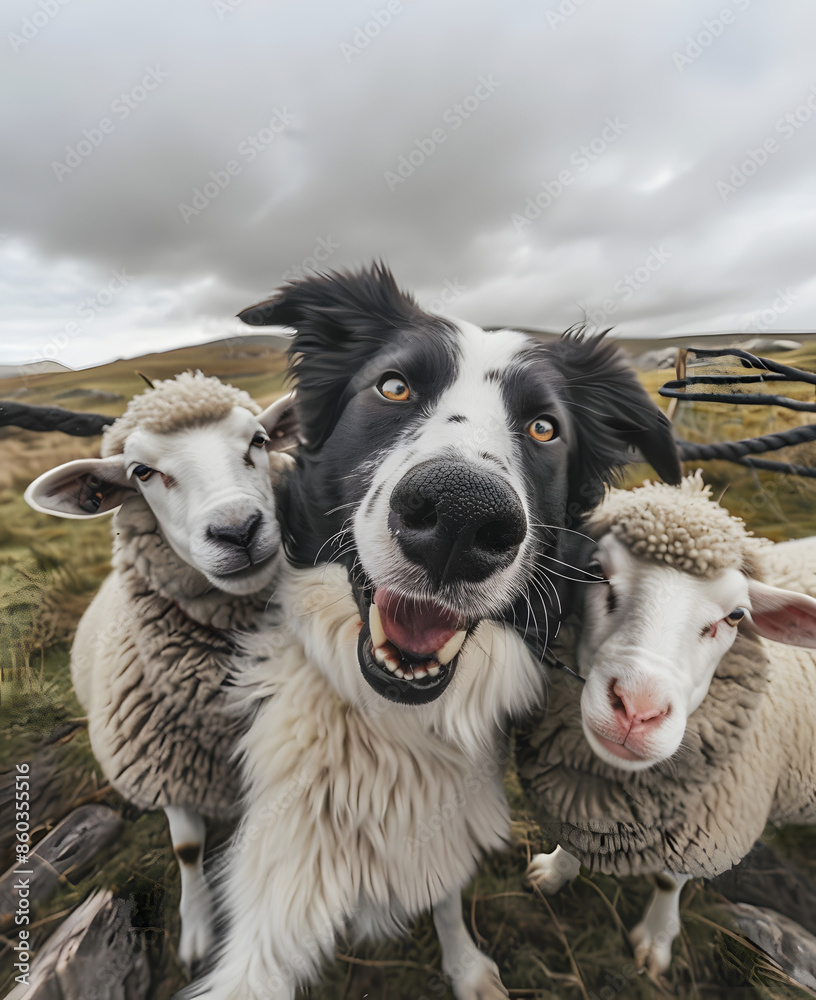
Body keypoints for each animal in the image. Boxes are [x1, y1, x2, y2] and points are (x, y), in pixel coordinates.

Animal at [24, 372, 297, 971]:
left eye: (260, 440)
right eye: (141, 473)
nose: (238, 531)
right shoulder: (163, 771)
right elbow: (187, 849)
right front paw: (196, 934)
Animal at [517, 473, 816, 976]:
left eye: (737, 615)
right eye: (594, 571)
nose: (637, 710)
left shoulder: (705, 832)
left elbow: (667, 883)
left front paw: (655, 943)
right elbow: (573, 843)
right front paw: (553, 873)